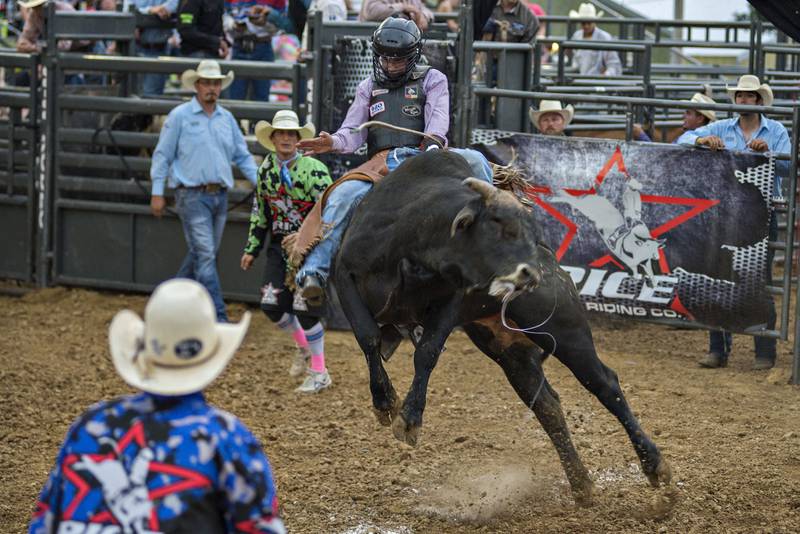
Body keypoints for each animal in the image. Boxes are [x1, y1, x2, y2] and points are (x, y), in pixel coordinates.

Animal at [334, 151, 672, 506]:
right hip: (511, 352)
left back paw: (654, 465)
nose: (532, 274)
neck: (413, 237)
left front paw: (410, 420)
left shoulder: (453, 297)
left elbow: (426, 352)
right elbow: (369, 337)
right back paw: (581, 484)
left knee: (605, 384)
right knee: (547, 405)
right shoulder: (345, 277)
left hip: (567, 330)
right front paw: (384, 401)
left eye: (533, 233)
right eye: (503, 227)